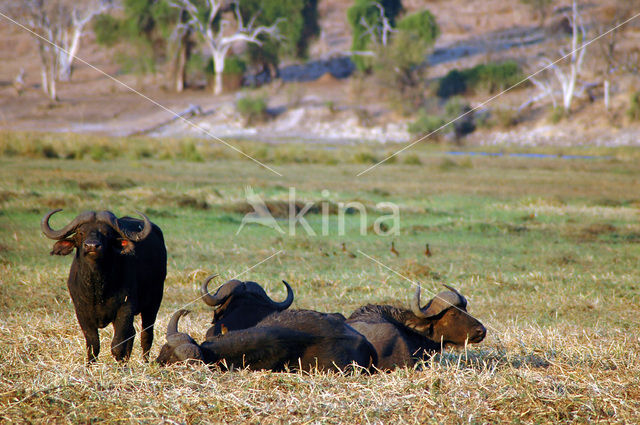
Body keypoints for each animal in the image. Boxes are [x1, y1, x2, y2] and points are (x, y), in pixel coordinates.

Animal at [41, 209, 166, 362]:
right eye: (81, 232)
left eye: (106, 233)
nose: (91, 246)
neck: (98, 288)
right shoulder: (81, 312)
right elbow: (93, 345)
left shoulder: (125, 308)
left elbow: (117, 345)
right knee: (132, 333)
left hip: (154, 302)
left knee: (146, 334)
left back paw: (145, 361)